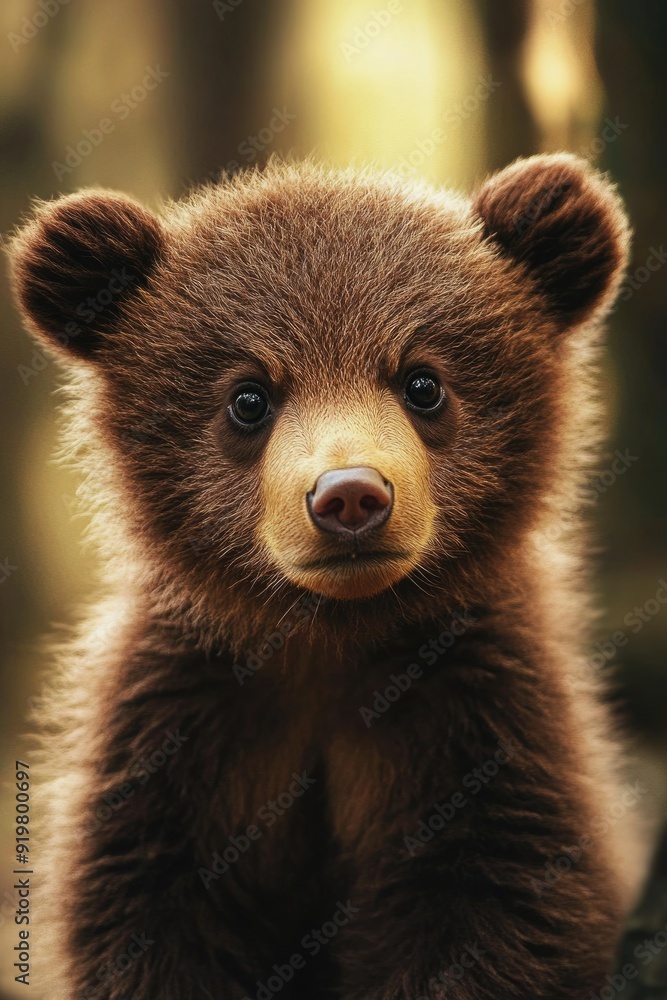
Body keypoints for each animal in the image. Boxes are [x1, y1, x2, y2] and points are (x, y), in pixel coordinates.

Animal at [9, 153, 637, 1000]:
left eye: (422, 382)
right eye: (248, 397)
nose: (349, 496)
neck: (329, 639)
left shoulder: (474, 727)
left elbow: (499, 909)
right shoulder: (181, 739)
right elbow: (149, 921)